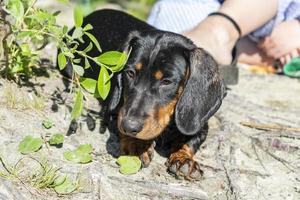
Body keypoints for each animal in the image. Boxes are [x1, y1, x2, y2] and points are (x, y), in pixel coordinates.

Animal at [62, 9, 226, 180]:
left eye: (166, 81)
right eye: (130, 73)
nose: (130, 126)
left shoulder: (198, 123)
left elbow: (190, 139)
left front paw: (184, 159)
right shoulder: (115, 111)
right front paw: (138, 145)